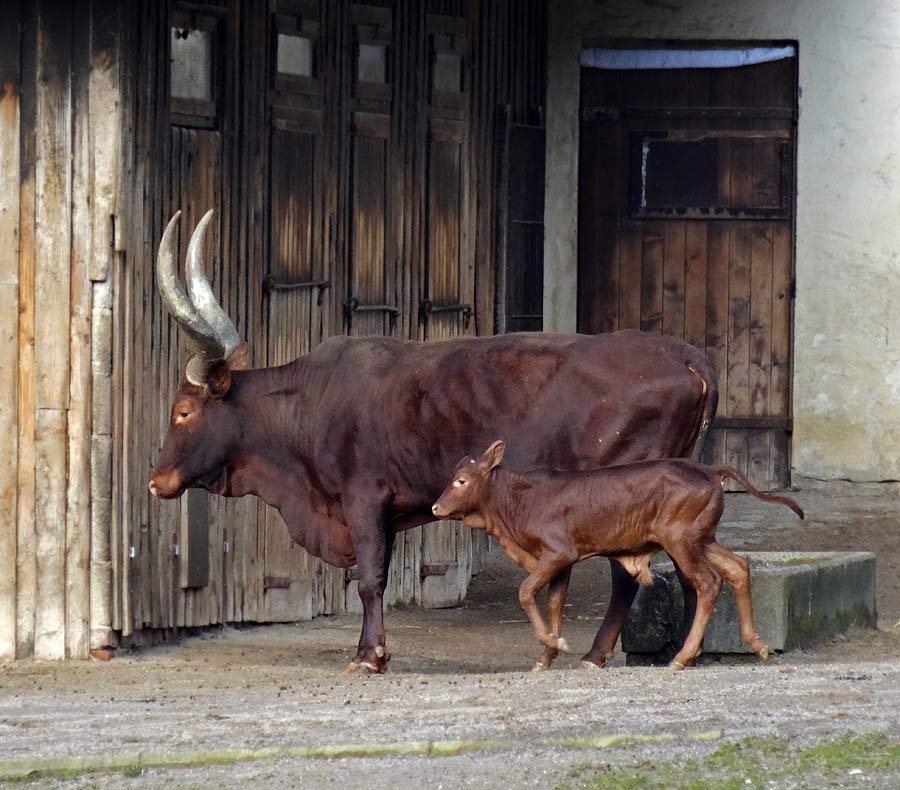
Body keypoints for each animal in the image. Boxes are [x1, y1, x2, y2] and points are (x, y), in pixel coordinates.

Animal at [151, 210, 720, 676]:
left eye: (183, 411)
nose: (157, 482)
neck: (312, 400)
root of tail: (682, 352)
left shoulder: (363, 499)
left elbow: (370, 579)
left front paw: (369, 655)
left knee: (632, 574)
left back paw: (600, 654)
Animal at [432, 442, 804, 672]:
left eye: (461, 480)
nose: (435, 507)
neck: (516, 504)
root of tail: (710, 470)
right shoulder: (561, 562)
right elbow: (555, 604)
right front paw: (546, 655)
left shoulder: (558, 552)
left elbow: (526, 591)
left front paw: (555, 643)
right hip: (703, 538)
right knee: (738, 567)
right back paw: (757, 644)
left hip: (681, 539)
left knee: (709, 583)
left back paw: (681, 658)